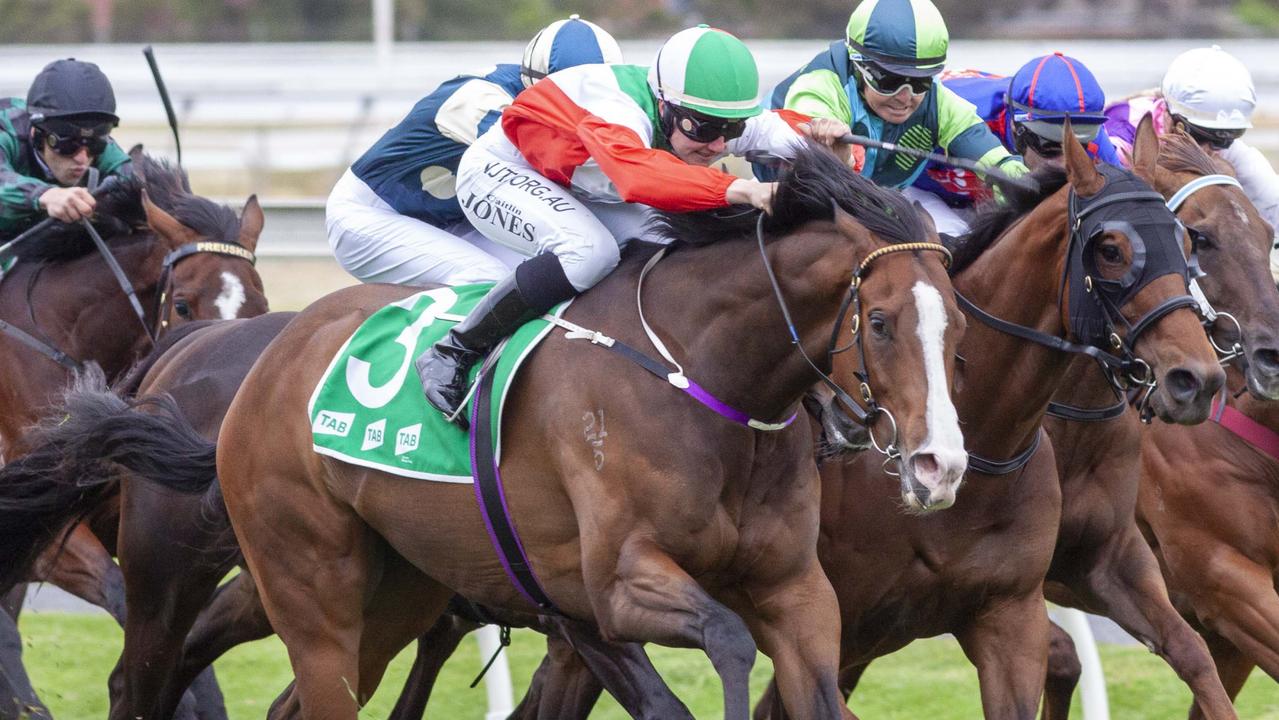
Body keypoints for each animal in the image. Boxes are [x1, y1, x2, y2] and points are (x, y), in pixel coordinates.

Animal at [752, 118, 1222, 716]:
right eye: (1112, 250)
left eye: (1186, 242)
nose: (1198, 380)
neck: (982, 439)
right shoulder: (830, 617)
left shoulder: (1036, 598)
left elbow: (1194, 656)